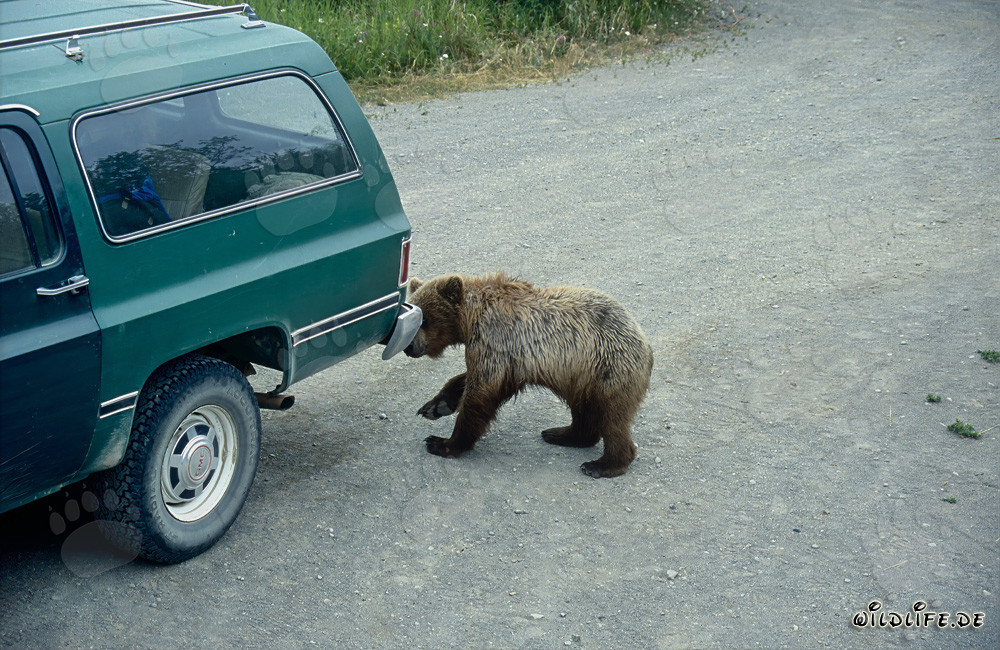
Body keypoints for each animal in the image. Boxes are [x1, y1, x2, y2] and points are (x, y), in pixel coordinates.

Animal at [404, 273, 653, 478]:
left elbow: (480, 394)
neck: (470, 318)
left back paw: (601, 464)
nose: (409, 347)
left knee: (612, 417)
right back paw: (561, 434)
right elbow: (468, 380)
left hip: (608, 368)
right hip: (580, 376)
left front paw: (441, 442)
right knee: (584, 409)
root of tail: (646, 344)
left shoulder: (494, 340)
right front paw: (436, 405)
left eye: (423, 320)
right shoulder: (506, 358)